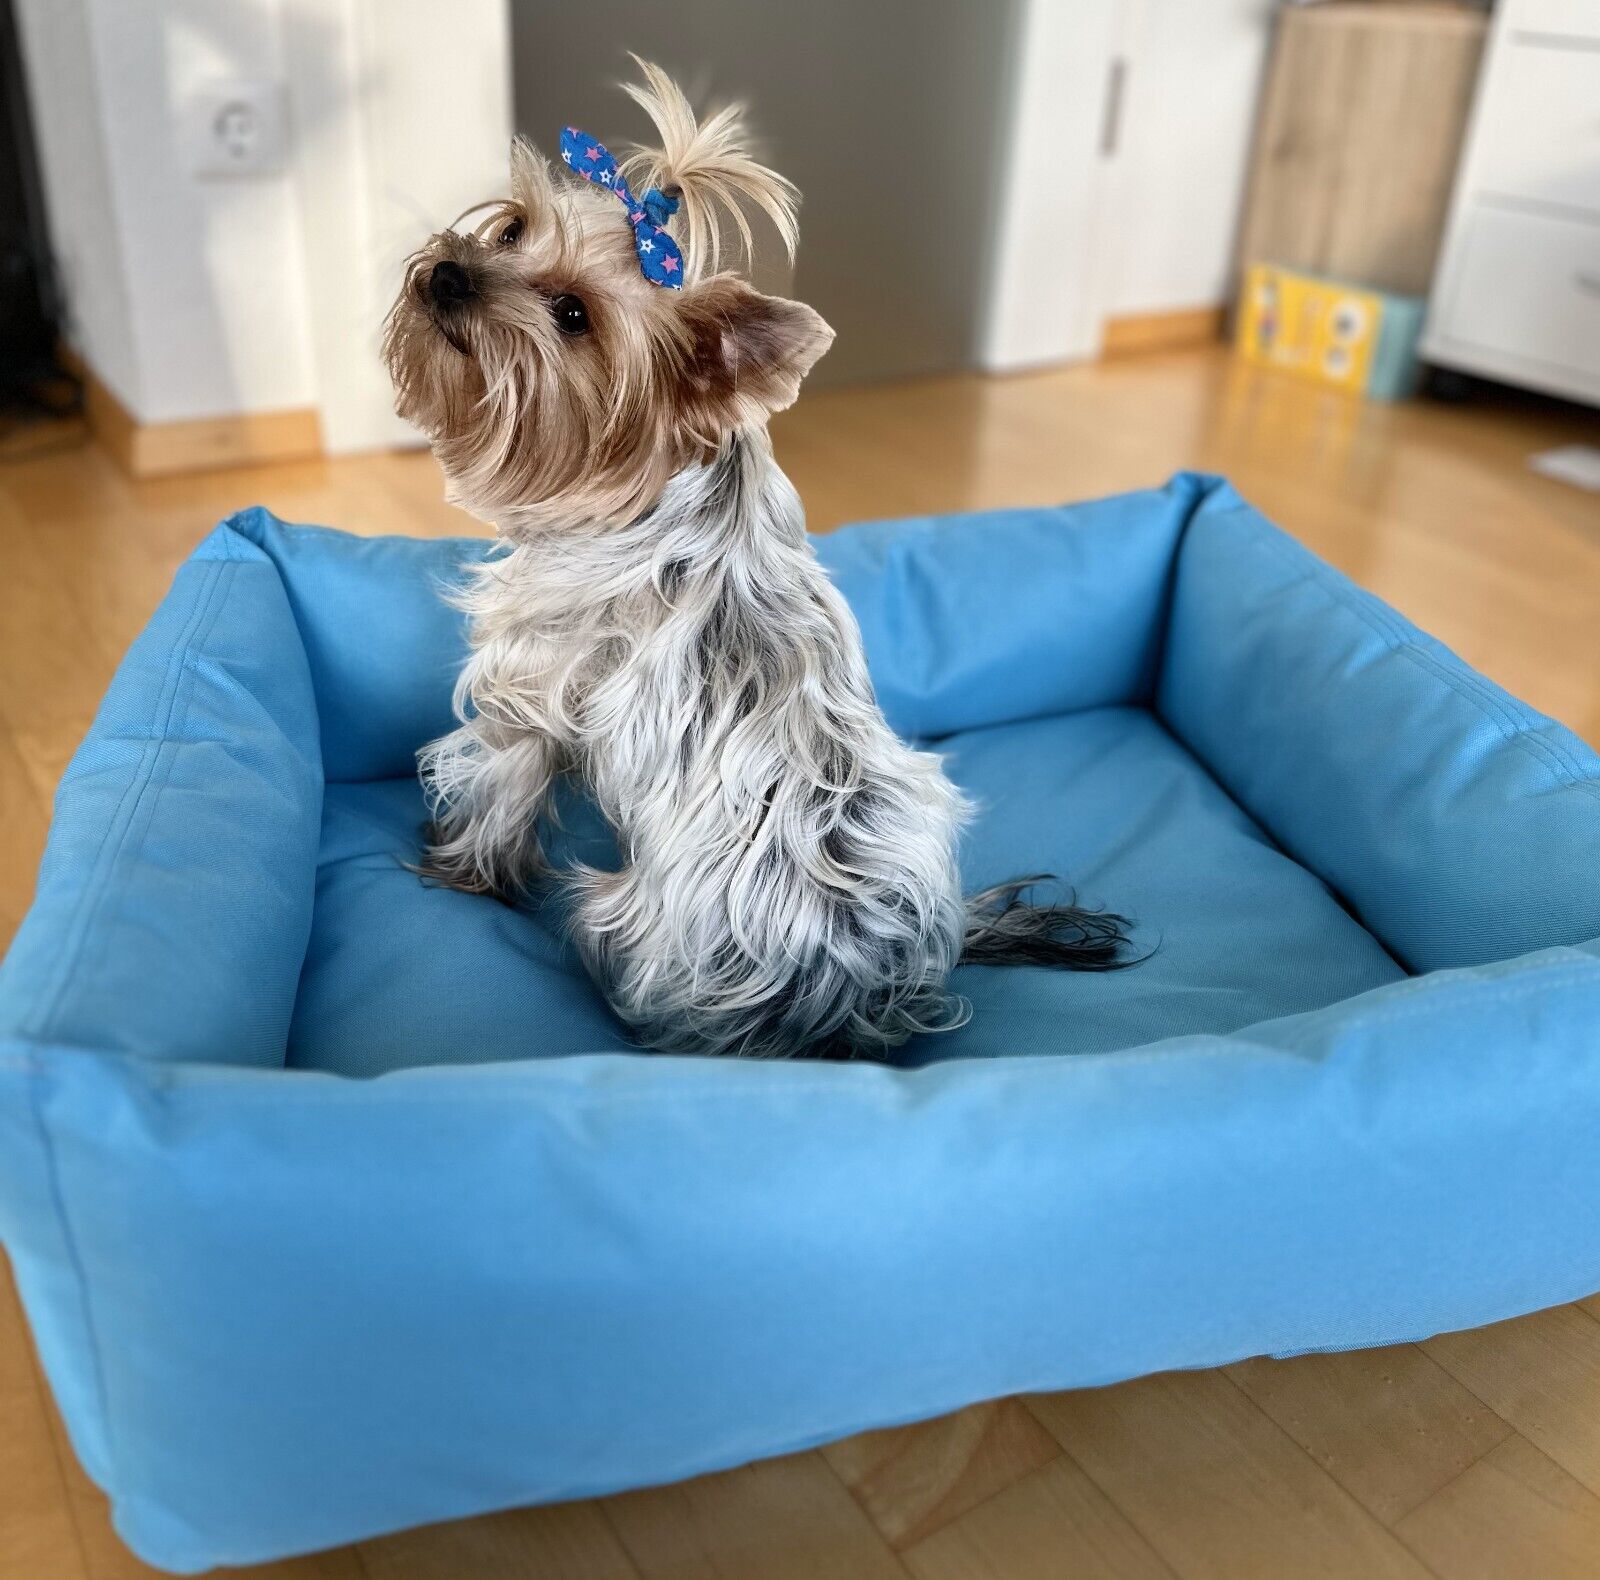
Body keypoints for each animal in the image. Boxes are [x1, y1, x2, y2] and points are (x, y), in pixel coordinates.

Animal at [384, 60, 1130, 1058]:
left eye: (573, 315)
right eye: (510, 230)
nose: (451, 273)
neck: (658, 486)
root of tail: (847, 1008)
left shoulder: (528, 694)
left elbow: (499, 787)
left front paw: (458, 867)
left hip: (613, 913)